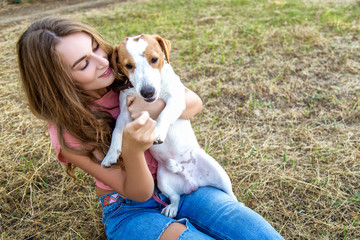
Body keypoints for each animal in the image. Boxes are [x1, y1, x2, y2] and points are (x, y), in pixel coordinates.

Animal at [101, 34, 236, 219]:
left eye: (154, 59)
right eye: (128, 65)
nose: (148, 92)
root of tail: (191, 180)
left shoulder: (176, 100)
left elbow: (164, 114)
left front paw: (158, 131)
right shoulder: (124, 114)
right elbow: (116, 132)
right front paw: (110, 154)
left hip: (220, 173)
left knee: (232, 194)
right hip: (162, 181)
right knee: (175, 197)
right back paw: (172, 205)